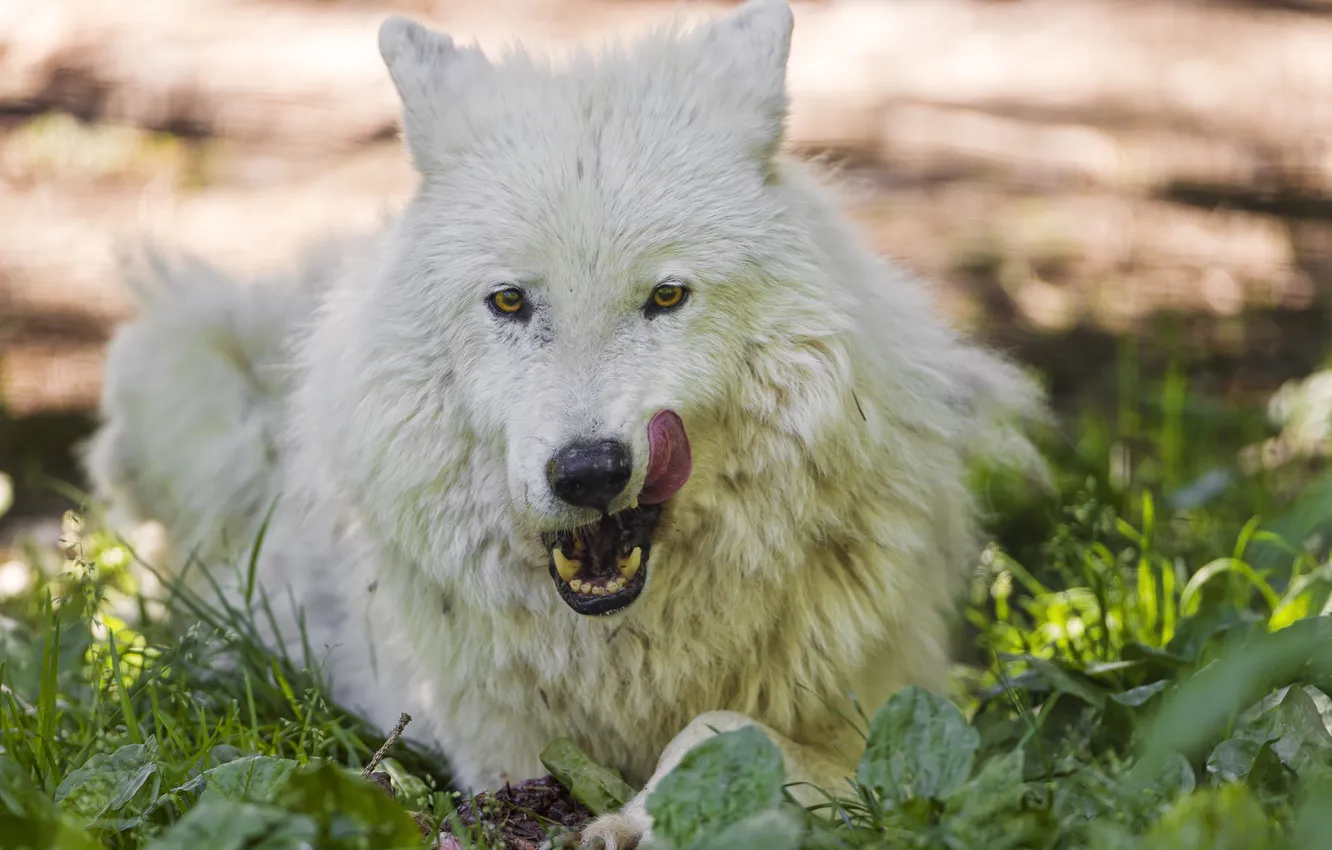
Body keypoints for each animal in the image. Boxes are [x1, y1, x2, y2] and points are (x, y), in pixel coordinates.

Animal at [84, 0, 1045, 846]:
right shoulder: (492, 751)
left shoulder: (894, 716)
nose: (588, 472)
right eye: (510, 301)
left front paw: (644, 819)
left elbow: (725, 727)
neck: (628, 653)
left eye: (667, 297)